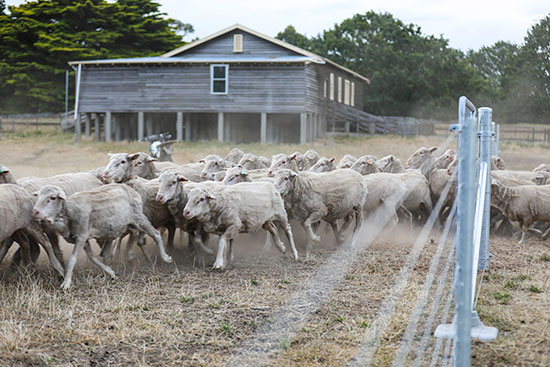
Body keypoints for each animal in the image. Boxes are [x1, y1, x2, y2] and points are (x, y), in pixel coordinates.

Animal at [33, 185, 172, 288]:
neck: (68, 212)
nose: (35, 212)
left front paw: (66, 283)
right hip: (127, 225)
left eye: (52, 197)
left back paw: (166, 258)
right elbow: (92, 257)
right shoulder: (82, 238)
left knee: (155, 234)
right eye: (38, 196)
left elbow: (73, 259)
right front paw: (110, 272)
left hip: (139, 217)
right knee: (132, 236)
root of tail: (132, 190)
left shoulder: (82, 234)